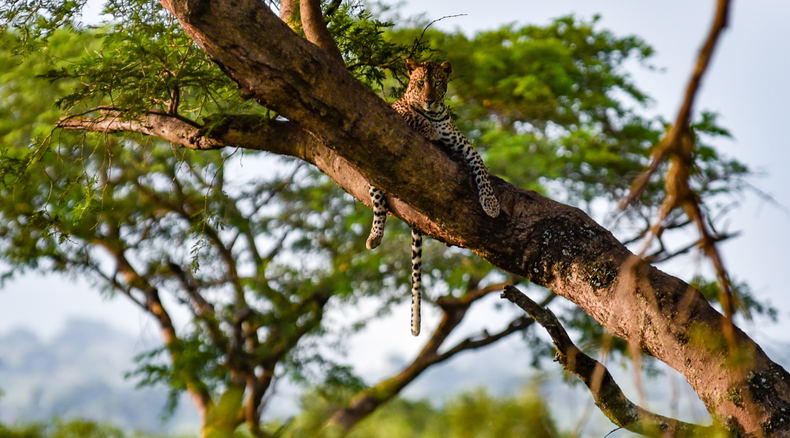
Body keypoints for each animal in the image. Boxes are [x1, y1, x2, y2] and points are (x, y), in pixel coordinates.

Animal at [366, 59, 500, 336]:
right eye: (419, 84)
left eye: (437, 83)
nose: (429, 100)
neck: (436, 114)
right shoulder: (394, 110)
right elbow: (410, 114)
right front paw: (426, 126)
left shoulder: (466, 147)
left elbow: (482, 170)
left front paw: (491, 204)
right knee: (378, 203)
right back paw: (374, 237)